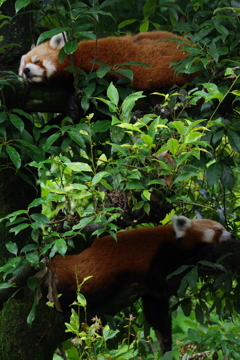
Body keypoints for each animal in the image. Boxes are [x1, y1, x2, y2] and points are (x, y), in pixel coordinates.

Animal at [47, 214, 233, 354]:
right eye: (218, 230)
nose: (232, 235)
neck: (176, 239)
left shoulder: (150, 287)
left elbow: (156, 306)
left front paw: (166, 341)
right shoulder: (163, 254)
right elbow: (164, 284)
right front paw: (204, 255)